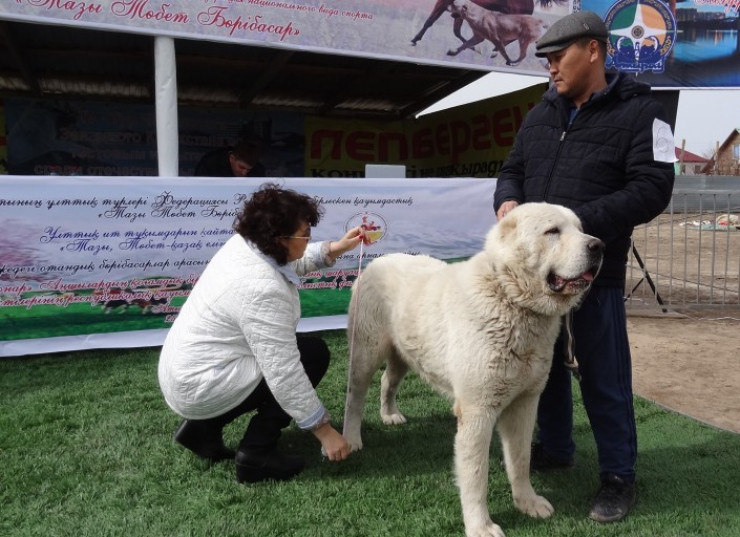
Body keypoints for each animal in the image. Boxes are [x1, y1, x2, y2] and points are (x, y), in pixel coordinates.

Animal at [343, 202, 604, 537]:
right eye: (552, 231)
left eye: (581, 229)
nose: (598, 246)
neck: (510, 297)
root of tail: (376, 262)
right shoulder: (478, 409)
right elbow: (476, 475)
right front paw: (481, 526)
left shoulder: (525, 402)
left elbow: (520, 459)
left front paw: (527, 502)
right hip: (365, 352)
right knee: (355, 396)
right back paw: (351, 439)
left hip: (404, 352)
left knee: (388, 380)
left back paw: (390, 415)